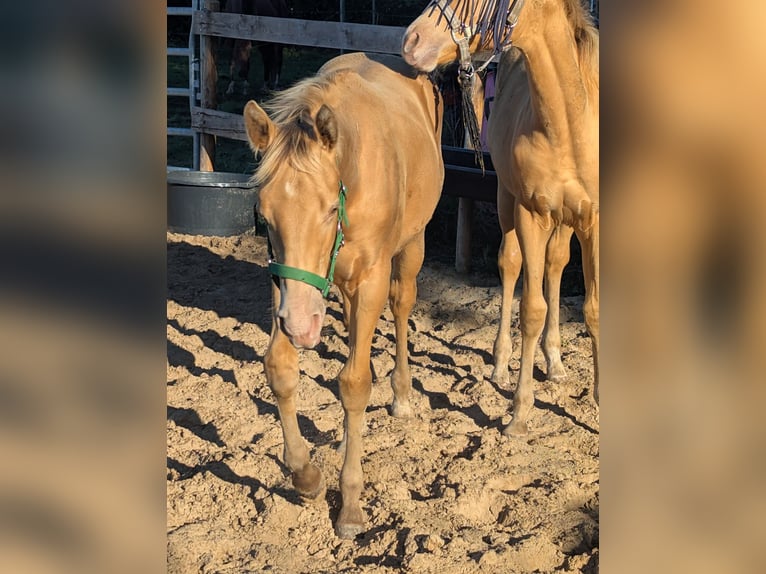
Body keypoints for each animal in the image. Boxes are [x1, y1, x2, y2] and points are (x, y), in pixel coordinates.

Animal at [243, 52, 444, 538]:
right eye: (263, 215)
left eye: (330, 208)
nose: (302, 326)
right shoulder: (284, 285)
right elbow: (279, 368)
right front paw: (306, 475)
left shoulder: (371, 279)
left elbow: (354, 384)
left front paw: (350, 504)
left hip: (411, 247)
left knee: (401, 306)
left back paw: (401, 395)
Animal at [402, 0, 599, 436]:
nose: (411, 40)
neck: (572, 127)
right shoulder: (531, 214)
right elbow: (531, 309)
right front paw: (519, 413)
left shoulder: (595, 223)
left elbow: (593, 309)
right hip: (508, 200)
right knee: (510, 266)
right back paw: (500, 363)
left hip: (565, 220)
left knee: (556, 266)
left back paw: (554, 361)